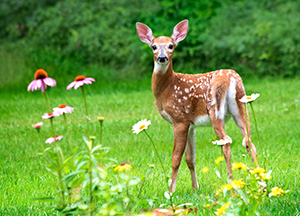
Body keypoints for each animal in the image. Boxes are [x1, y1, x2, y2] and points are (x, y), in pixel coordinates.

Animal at [136, 19, 258, 192]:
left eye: (171, 45)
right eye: (153, 46)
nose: (162, 57)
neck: (167, 88)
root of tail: (231, 78)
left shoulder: (180, 118)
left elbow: (176, 157)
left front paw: (170, 191)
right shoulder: (191, 124)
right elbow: (190, 158)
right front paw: (195, 189)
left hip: (215, 110)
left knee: (227, 142)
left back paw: (232, 183)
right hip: (240, 106)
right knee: (249, 141)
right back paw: (260, 181)